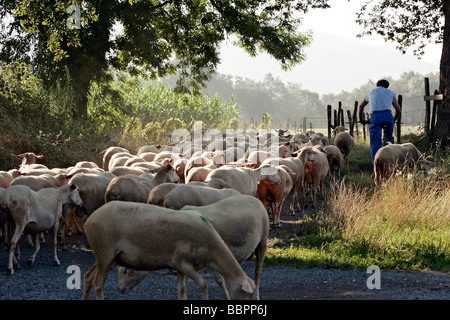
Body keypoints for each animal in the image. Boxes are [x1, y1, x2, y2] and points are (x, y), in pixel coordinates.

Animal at [82, 200, 255, 300]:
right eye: (248, 295)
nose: (119, 289)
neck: (212, 247)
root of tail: (89, 219)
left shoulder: (179, 267)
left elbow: (181, 290)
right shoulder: (182, 262)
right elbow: (204, 284)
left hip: (105, 257)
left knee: (88, 277)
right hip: (105, 253)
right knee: (98, 285)